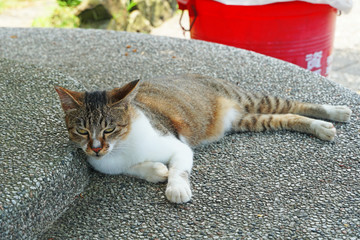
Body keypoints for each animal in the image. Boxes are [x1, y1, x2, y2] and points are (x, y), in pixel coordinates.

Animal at [55, 73, 352, 202]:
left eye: (109, 129)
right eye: (82, 130)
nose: (95, 148)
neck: (121, 148)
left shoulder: (178, 145)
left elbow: (179, 169)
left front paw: (176, 188)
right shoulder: (105, 165)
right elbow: (131, 169)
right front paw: (155, 170)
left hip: (254, 99)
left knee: (293, 104)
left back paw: (335, 113)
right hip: (250, 121)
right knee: (288, 116)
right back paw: (321, 126)